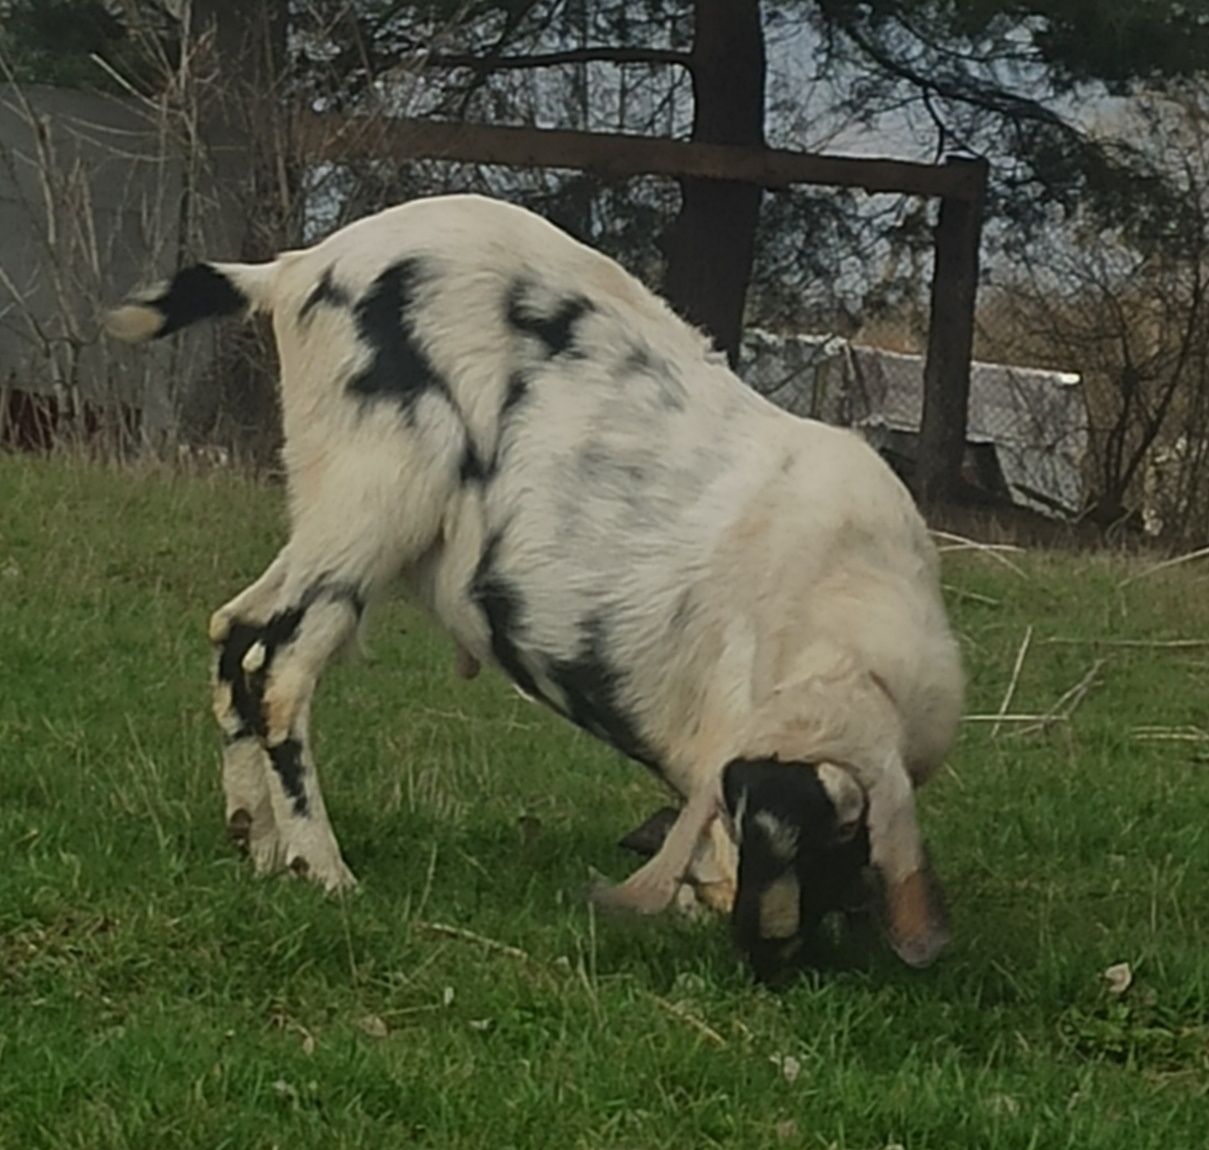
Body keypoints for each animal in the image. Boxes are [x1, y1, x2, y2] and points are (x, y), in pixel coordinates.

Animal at [106, 193, 962, 977]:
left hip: (326, 509)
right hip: (372, 496)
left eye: (838, 832)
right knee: (279, 666)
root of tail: (293, 271)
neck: (848, 597)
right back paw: (321, 869)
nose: (764, 952)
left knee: (235, 629)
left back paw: (253, 839)